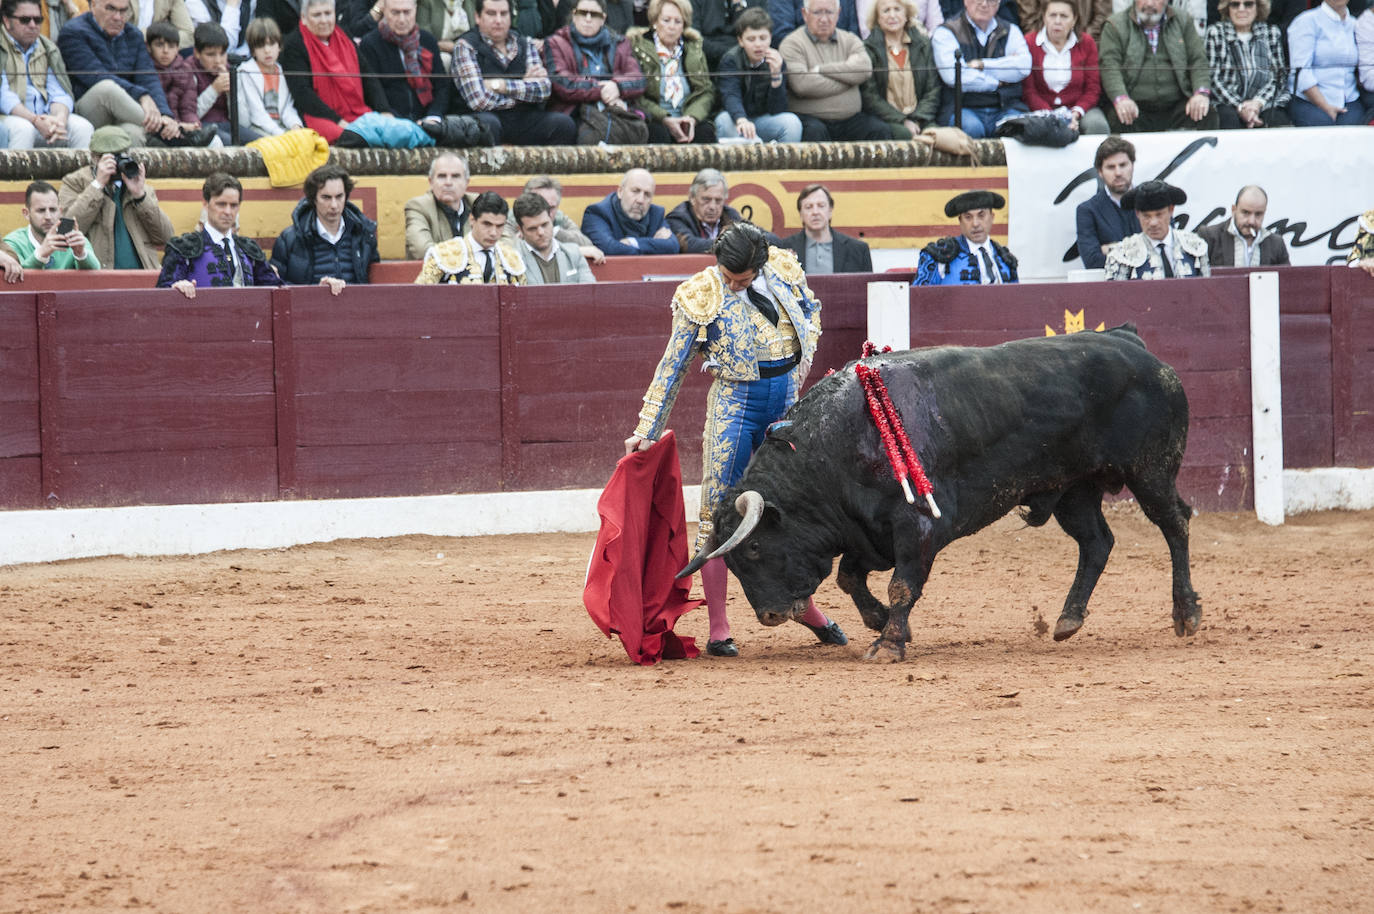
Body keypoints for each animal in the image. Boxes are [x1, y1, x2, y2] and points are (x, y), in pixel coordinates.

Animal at [684, 324, 1203, 659]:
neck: (833, 448)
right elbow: (850, 578)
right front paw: (880, 623)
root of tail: (1131, 343)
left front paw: (889, 644)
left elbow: (900, 583)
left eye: (753, 550)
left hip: (1150, 471)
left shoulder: (916, 526)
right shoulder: (867, 534)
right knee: (1097, 542)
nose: (770, 615)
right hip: (1073, 489)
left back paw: (1186, 613)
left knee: (1175, 523)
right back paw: (1068, 619)